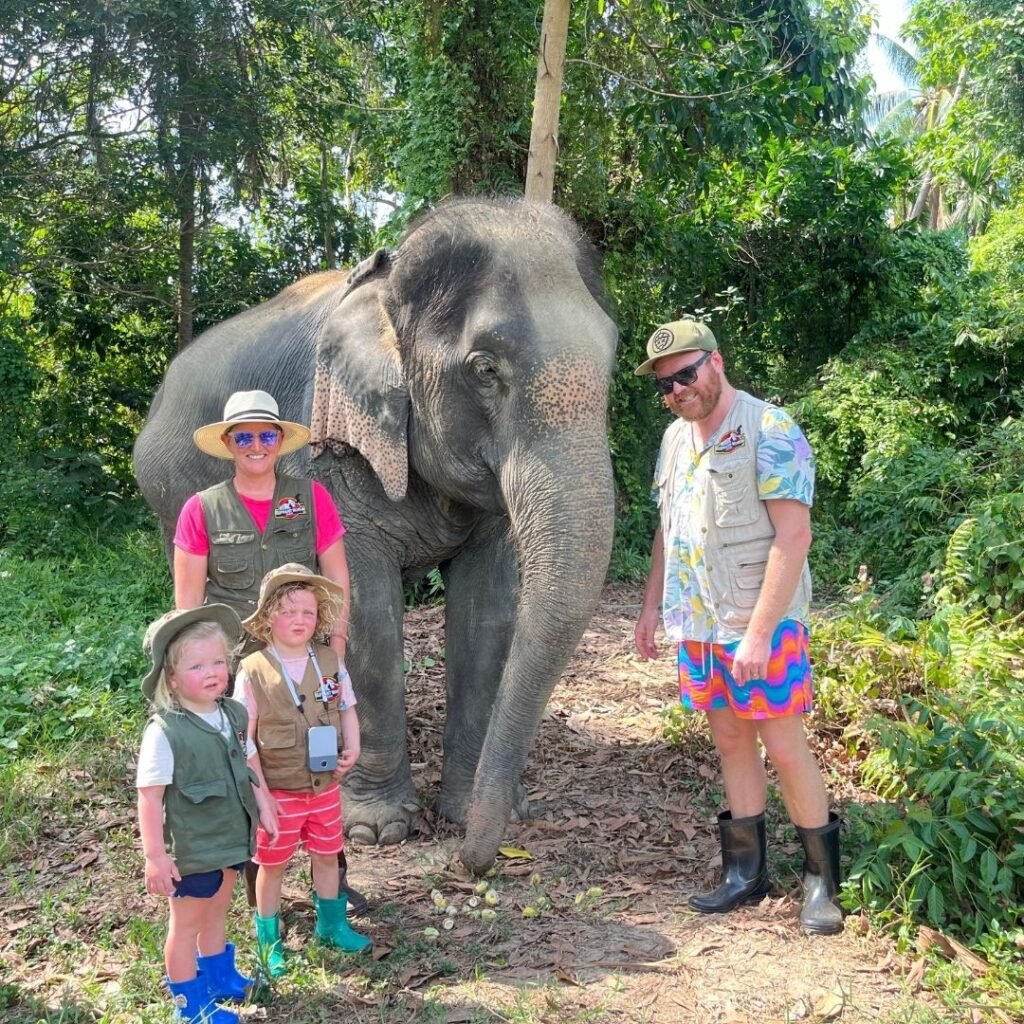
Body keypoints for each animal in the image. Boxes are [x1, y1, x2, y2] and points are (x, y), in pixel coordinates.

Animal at [135, 197, 614, 872]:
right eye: (485, 368)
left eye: (614, 363)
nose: (474, 862)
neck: (389, 287)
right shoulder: (330, 448)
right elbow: (360, 606)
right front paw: (376, 831)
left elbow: (489, 607)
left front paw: (465, 811)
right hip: (168, 496)